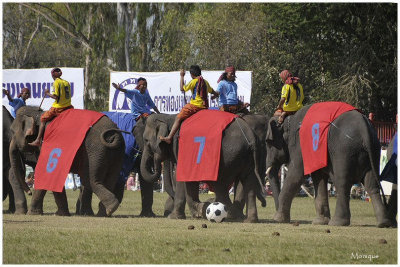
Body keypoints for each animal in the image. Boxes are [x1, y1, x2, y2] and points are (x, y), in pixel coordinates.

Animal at [136, 112, 268, 223]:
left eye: (146, 140)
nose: (156, 161)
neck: (168, 116)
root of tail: (250, 136)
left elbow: (181, 175)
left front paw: (174, 217)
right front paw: (198, 211)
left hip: (227, 158)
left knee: (220, 186)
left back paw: (232, 215)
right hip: (248, 158)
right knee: (249, 184)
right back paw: (248, 219)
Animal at [264, 104, 392, 228]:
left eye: (268, 143)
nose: (273, 214)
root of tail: (364, 127)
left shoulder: (301, 145)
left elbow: (296, 175)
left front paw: (278, 219)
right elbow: (318, 177)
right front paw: (319, 222)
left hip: (344, 150)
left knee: (342, 183)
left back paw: (337, 222)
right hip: (374, 150)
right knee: (372, 184)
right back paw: (384, 223)